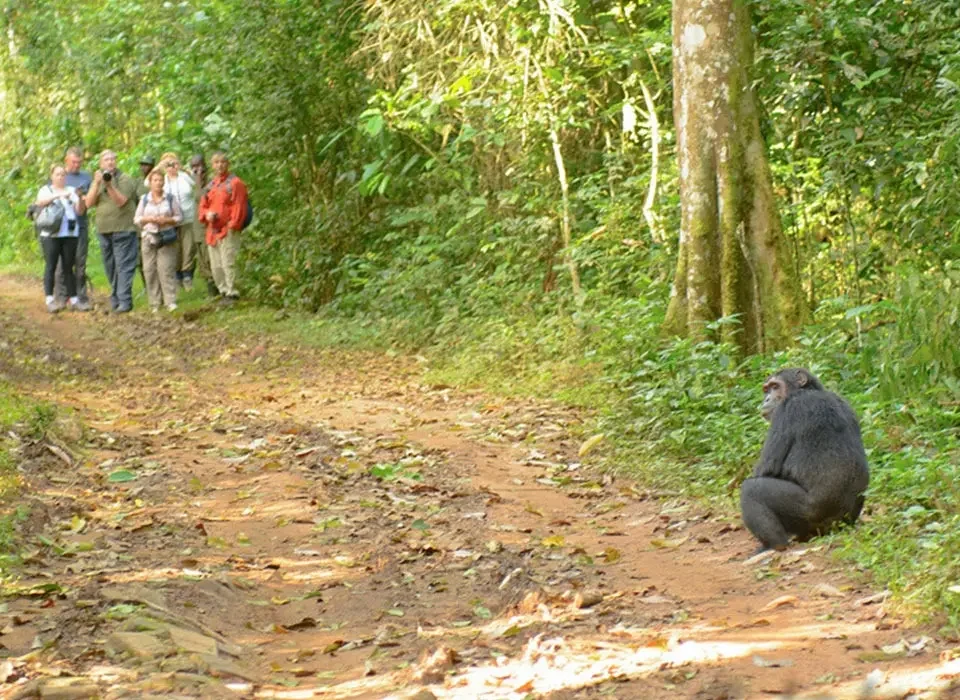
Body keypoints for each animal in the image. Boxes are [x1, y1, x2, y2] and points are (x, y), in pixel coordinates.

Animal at [740, 368, 869, 553]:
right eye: (766, 389)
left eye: (775, 386)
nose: (767, 399)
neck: (808, 391)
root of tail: (839, 527)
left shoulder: (787, 409)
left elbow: (766, 467)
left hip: (808, 514)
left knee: (751, 489)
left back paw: (774, 545)